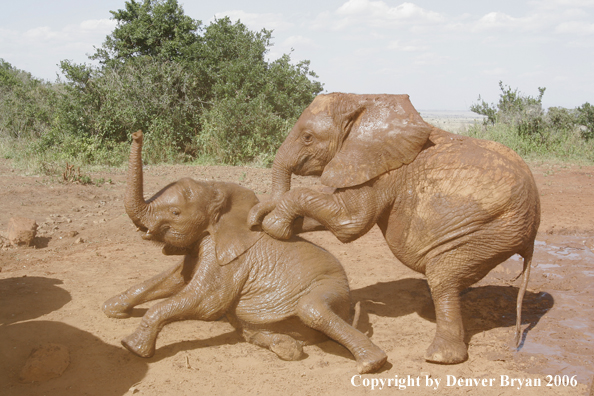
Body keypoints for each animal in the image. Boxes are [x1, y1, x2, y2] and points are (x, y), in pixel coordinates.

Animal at [102, 131, 386, 374]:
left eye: (175, 213)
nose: (137, 134)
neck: (220, 197)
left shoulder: (234, 259)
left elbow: (205, 301)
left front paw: (132, 347)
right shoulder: (205, 243)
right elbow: (175, 279)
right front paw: (111, 309)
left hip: (332, 287)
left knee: (311, 309)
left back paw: (371, 363)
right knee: (252, 330)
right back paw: (287, 347)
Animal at [247, 93, 540, 366]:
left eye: (308, 137)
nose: (255, 226)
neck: (363, 101)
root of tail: (532, 236)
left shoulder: (381, 168)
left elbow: (350, 221)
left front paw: (273, 226)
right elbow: (340, 215)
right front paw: (260, 214)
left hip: (490, 231)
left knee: (443, 276)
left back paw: (439, 357)